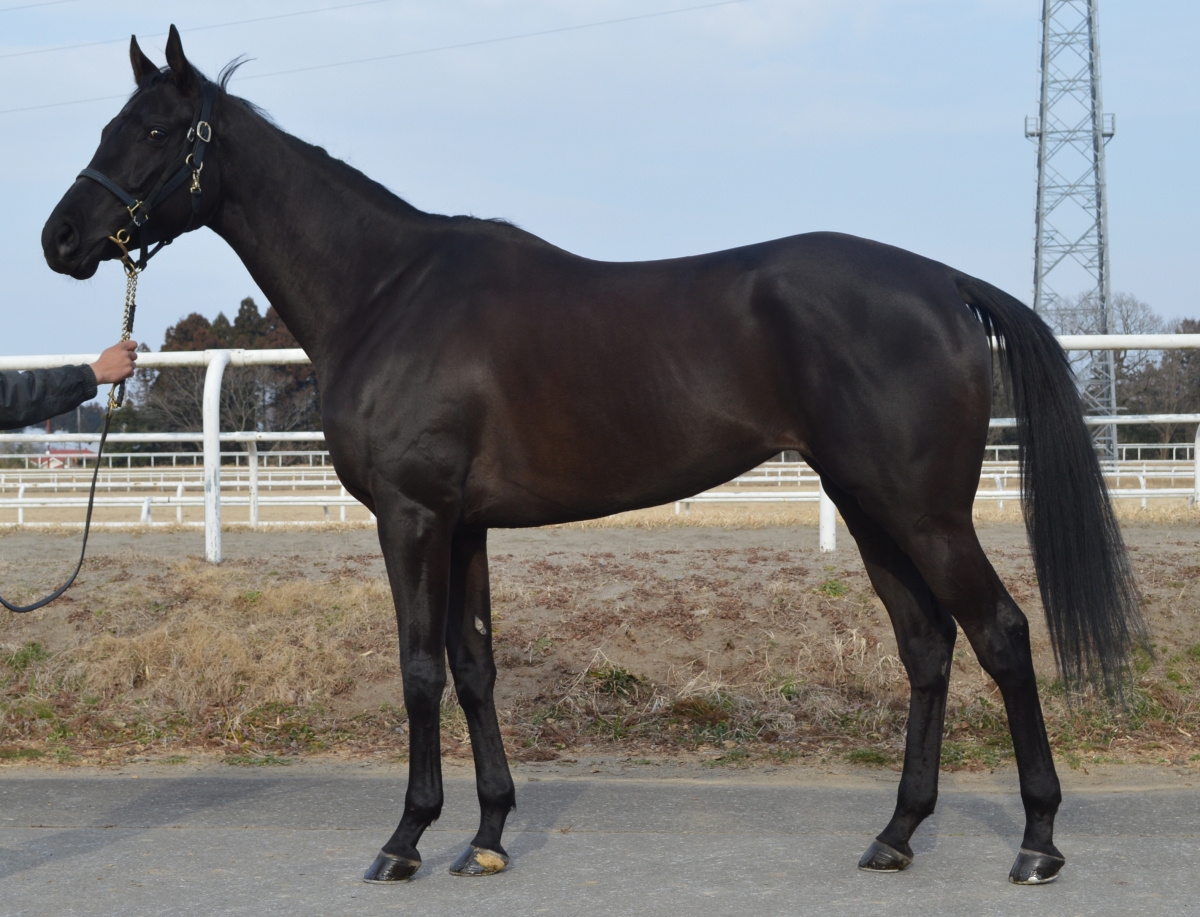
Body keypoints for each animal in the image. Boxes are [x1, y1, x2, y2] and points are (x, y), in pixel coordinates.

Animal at [42, 27, 1143, 886]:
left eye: (152, 131)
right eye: (104, 127)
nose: (60, 239)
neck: (389, 290)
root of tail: (945, 281)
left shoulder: (412, 516)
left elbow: (418, 667)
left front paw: (405, 837)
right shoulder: (466, 525)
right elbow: (475, 666)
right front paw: (486, 832)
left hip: (921, 510)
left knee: (1001, 633)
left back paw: (1038, 840)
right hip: (871, 506)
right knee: (927, 647)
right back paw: (897, 832)